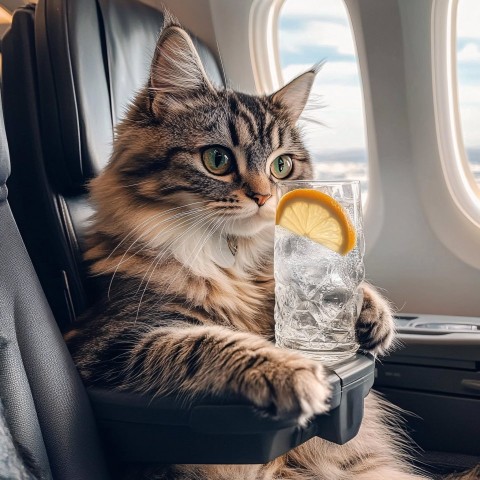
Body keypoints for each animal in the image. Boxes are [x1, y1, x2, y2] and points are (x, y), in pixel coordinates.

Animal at [64, 14, 464, 480]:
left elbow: (330, 290)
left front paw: (369, 314)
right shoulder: (109, 344)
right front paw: (292, 371)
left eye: (282, 166)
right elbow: (206, 342)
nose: (264, 197)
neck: (232, 260)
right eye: (217, 160)